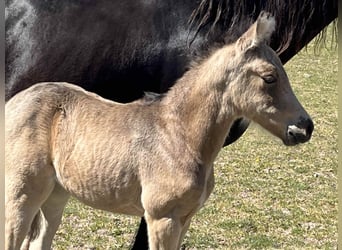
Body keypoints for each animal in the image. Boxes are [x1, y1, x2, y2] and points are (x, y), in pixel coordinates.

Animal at [4, 0, 336, 248]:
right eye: (269, 77)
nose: (304, 127)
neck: (179, 136)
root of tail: (15, 103)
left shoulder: (185, 218)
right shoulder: (161, 218)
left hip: (55, 195)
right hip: (21, 195)